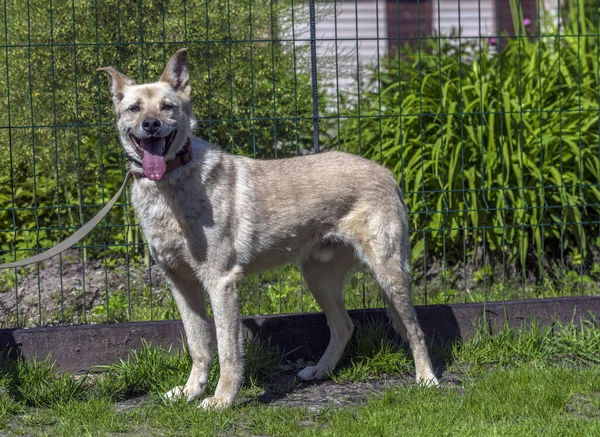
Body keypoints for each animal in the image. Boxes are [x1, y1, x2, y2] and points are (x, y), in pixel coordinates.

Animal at [97, 48, 436, 408]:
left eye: (167, 106)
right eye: (134, 108)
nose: (151, 125)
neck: (171, 185)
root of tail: (387, 171)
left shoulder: (221, 283)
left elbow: (228, 351)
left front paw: (221, 401)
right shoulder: (181, 284)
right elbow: (198, 346)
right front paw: (190, 391)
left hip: (389, 273)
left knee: (415, 329)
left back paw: (427, 378)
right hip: (318, 277)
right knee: (344, 326)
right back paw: (319, 371)